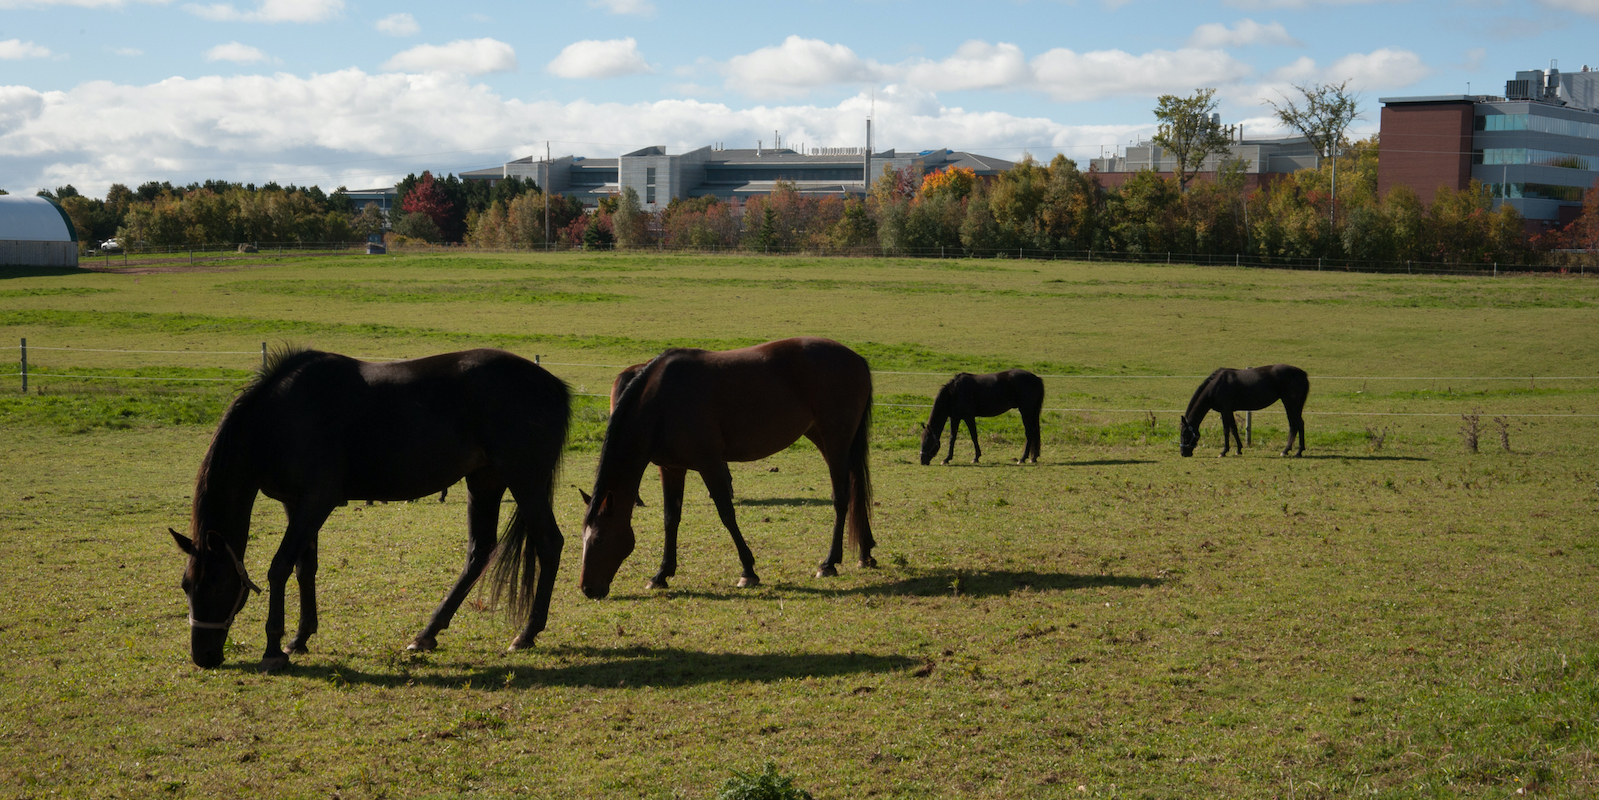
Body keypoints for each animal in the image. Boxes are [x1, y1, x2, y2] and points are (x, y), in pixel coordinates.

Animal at [167, 348, 569, 668]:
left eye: (217, 586)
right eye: (186, 586)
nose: (203, 657)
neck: (282, 418)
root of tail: (553, 386)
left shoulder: (317, 501)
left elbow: (279, 567)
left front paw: (274, 648)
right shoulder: (295, 504)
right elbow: (304, 567)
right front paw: (300, 638)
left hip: (525, 480)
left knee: (550, 543)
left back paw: (526, 634)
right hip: (485, 481)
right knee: (479, 552)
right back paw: (426, 634)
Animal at [575, 337, 876, 601]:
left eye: (599, 540)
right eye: (583, 539)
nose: (587, 589)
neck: (662, 400)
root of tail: (855, 358)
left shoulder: (709, 463)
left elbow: (726, 514)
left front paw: (748, 571)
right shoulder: (671, 469)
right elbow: (671, 518)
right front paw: (661, 574)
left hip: (835, 441)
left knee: (842, 498)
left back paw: (829, 563)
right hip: (825, 439)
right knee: (856, 490)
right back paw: (865, 553)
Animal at [1176, 364, 1311, 457]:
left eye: (1183, 433)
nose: (1183, 453)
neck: (1216, 385)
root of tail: (1302, 374)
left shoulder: (1225, 410)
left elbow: (1226, 430)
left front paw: (1223, 452)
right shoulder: (1229, 411)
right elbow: (1234, 429)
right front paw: (1238, 450)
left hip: (1290, 404)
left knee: (1295, 424)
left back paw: (1288, 451)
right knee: (1299, 424)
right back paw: (1298, 451)